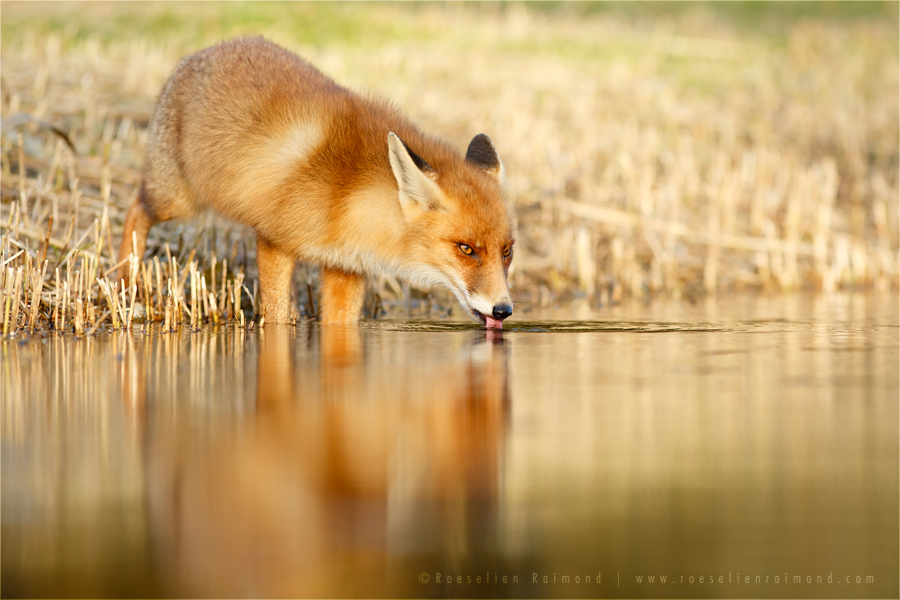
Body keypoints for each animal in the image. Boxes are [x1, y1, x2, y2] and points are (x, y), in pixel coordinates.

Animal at [116, 36, 516, 328]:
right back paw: (126, 281)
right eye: (466, 249)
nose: (504, 310)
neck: (347, 194)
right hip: (177, 198)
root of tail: (204, 50)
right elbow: (276, 318)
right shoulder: (274, 239)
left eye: (507, 251)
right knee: (136, 209)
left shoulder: (346, 268)